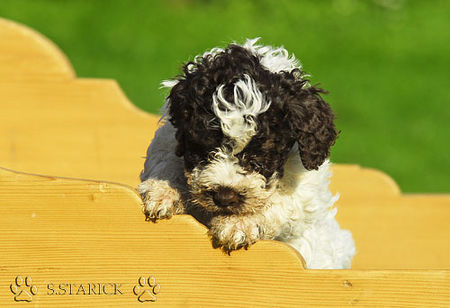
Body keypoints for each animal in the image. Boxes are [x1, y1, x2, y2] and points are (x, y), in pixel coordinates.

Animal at [137, 39, 356, 270]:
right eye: (202, 149)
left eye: (259, 159)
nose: (224, 197)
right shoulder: (168, 138)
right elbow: (166, 159)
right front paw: (163, 191)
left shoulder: (304, 190)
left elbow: (279, 204)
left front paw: (238, 224)